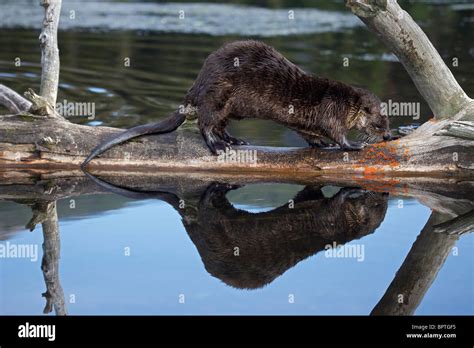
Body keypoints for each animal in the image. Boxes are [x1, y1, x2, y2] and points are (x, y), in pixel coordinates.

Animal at [82, 39, 392, 167]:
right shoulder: (332, 110)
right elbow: (336, 132)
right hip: (217, 96)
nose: (389, 135)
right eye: (380, 122)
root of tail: (196, 87)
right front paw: (353, 144)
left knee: (220, 124)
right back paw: (218, 146)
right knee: (206, 124)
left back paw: (234, 140)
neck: (345, 102)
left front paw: (321, 144)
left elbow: (311, 134)